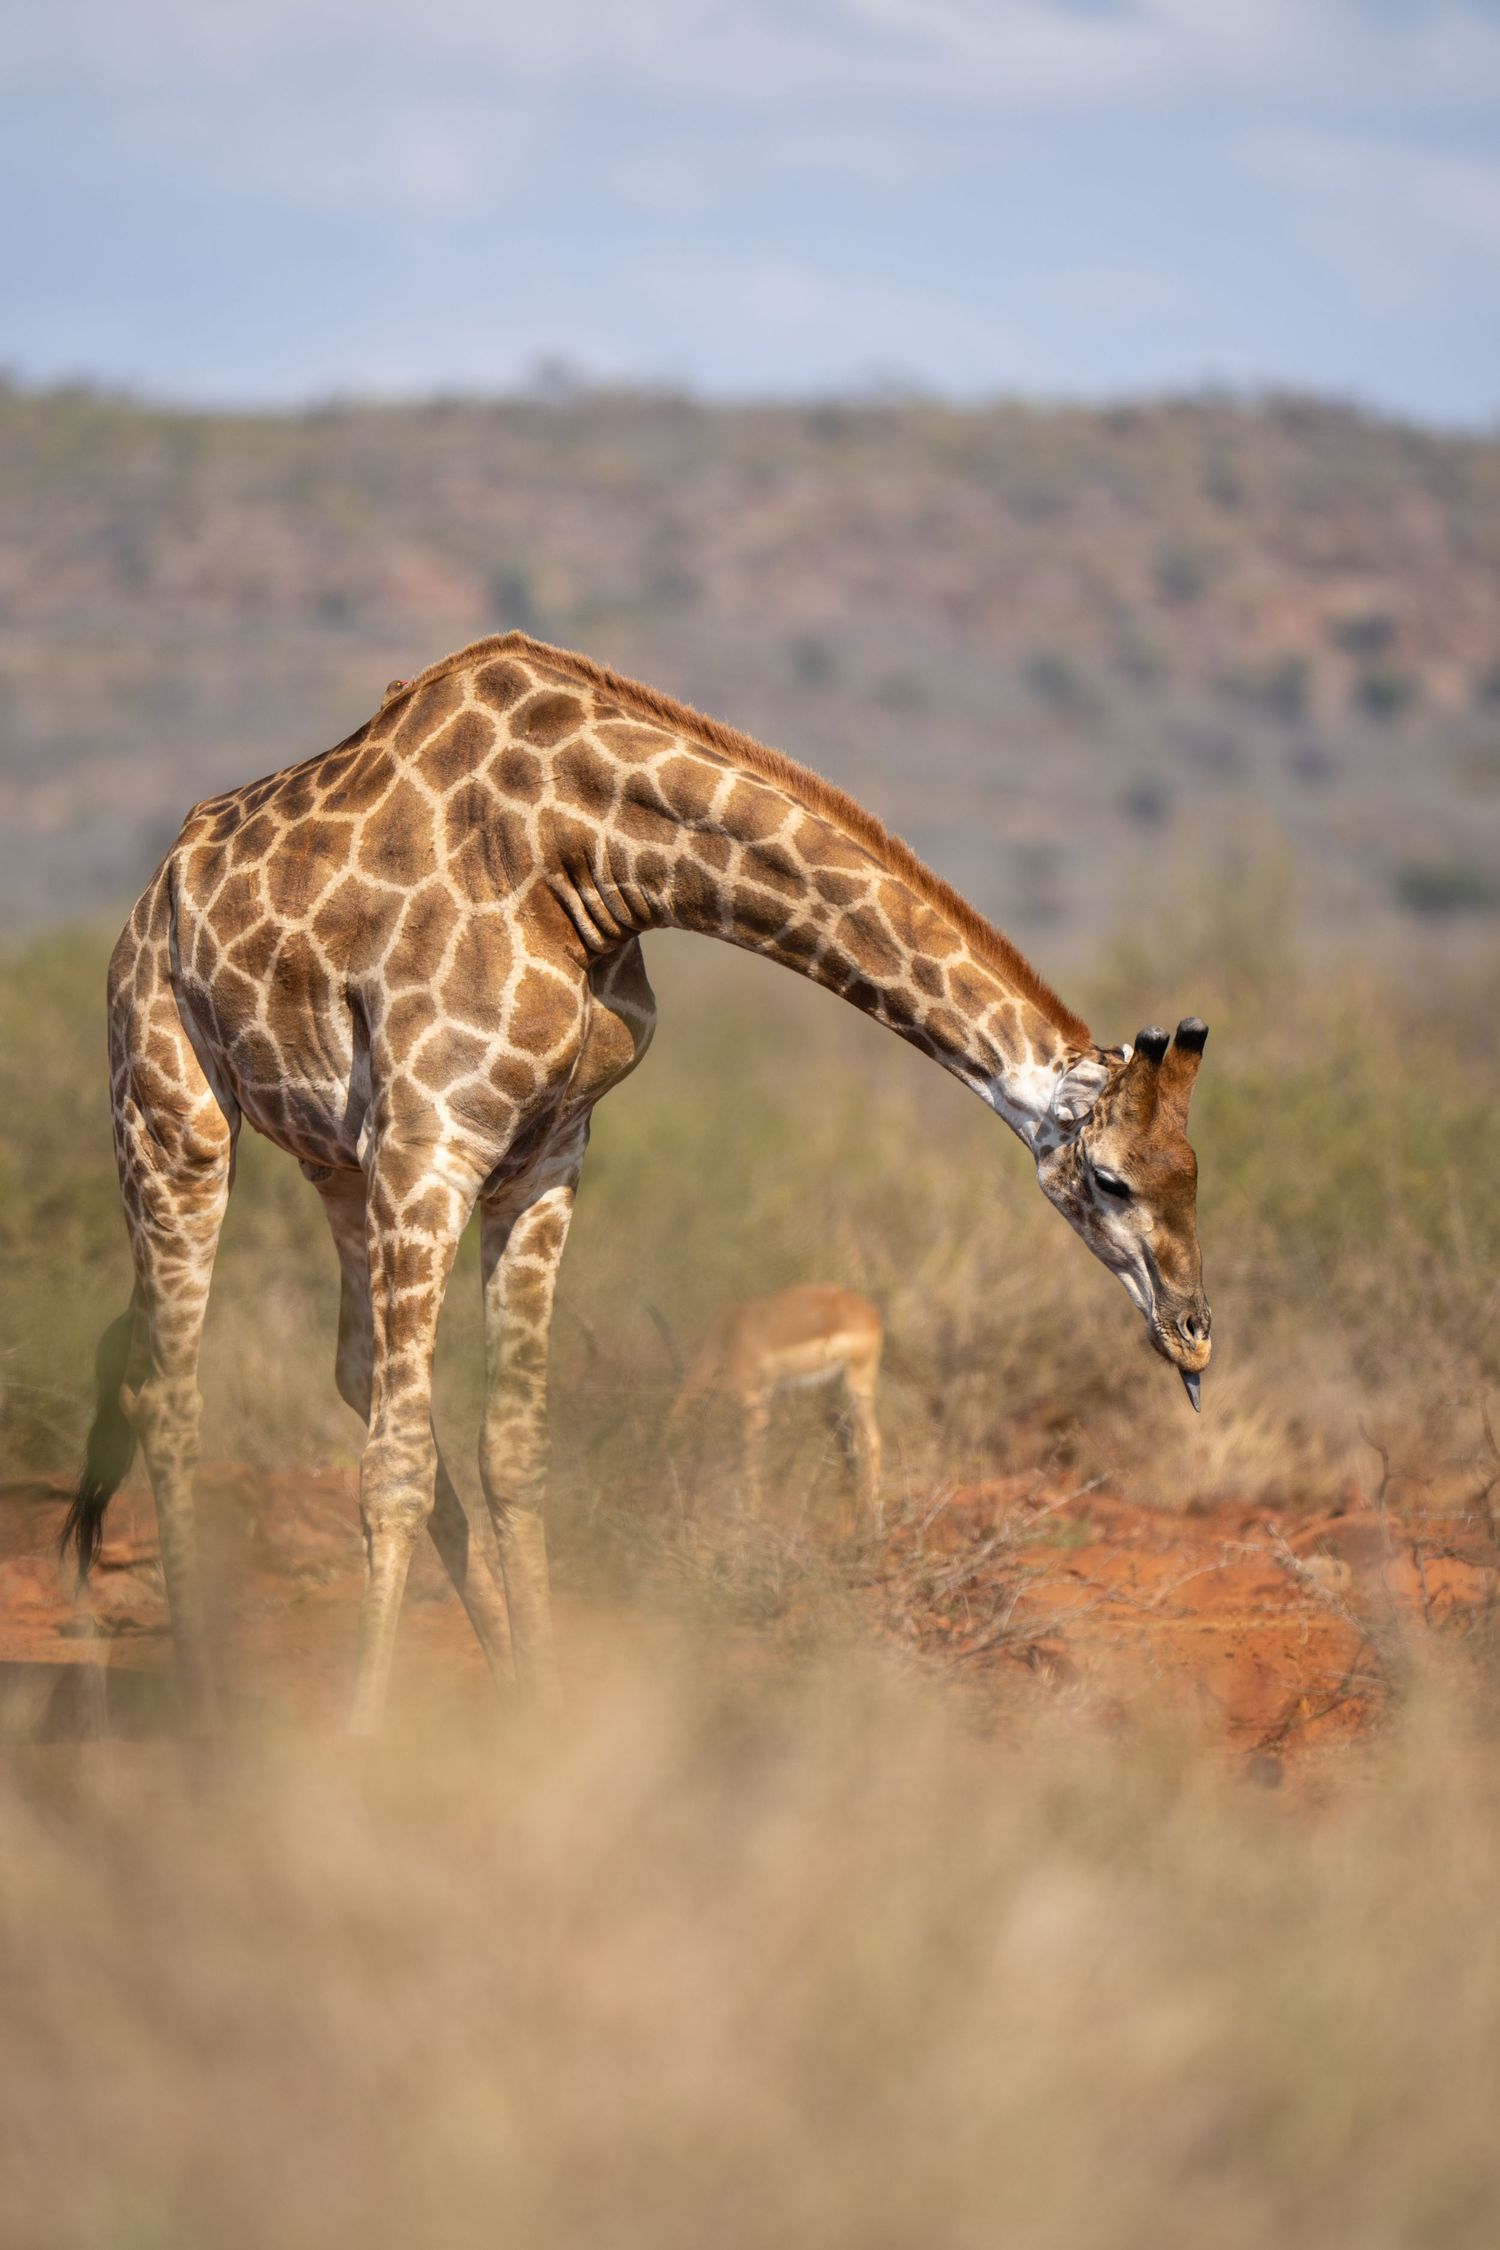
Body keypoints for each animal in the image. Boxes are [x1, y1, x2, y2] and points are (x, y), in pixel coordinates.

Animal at [667, 1285, 884, 1526]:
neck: (728, 1334)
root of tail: (872, 1313)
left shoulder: (754, 1399)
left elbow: (752, 1456)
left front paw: (751, 1517)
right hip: (836, 1387)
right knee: (850, 1440)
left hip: (858, 1384)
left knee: (872, 1439)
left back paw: (874, 1516)